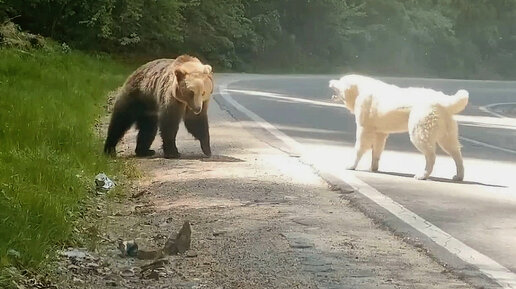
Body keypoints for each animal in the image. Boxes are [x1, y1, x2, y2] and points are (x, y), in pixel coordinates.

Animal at [328, 74, 470, 180]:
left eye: (340, 81)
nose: (330, 81)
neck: (358, 90)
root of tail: (443, 101)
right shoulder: (380, 130)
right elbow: (378, 147)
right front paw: (373, 167)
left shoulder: (365, 122)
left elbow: (361, 144)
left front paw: (351, 165)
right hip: (446, 126)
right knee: (454, 149)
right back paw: (459, 175)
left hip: (421, 121)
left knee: (429, 151)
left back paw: (422, 174)